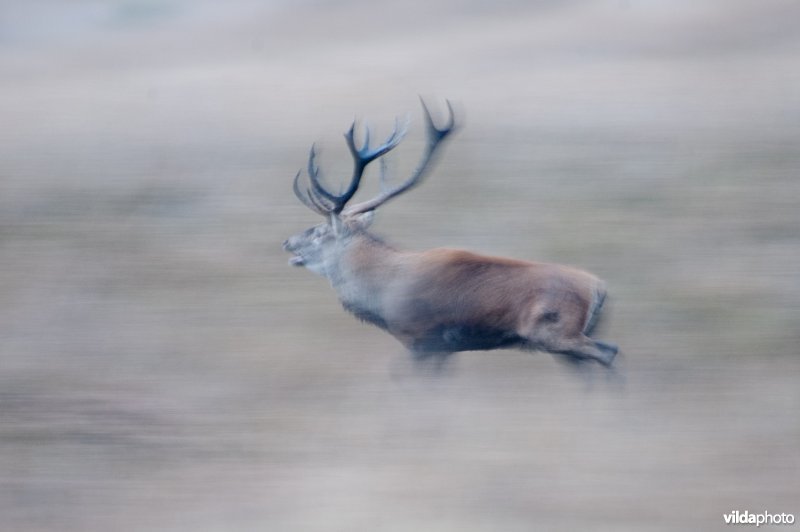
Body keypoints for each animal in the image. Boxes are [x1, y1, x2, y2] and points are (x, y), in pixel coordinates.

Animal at [282, 98, 620, 366]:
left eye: (318, 231)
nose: (288, 242)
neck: (383, 290)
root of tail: (599, 289)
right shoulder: (441, 347)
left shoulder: (421, 337)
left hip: (557, 331)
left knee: (609, 353)